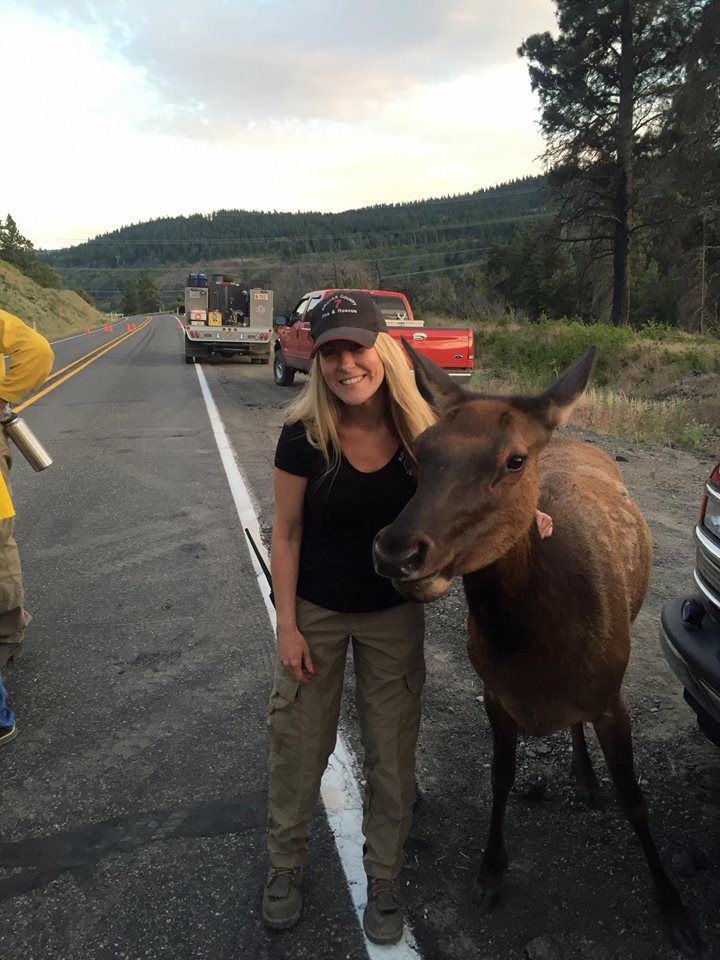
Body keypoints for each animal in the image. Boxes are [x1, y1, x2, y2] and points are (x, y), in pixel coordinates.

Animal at [374, 344, 700, 952]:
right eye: (420, 452)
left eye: (515, 460)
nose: (396, 552)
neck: (534, 649)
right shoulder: (495, 694)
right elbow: (501, 777)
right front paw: (490, 872)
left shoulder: (611, 695)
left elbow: (635, 800)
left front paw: (673, 907)